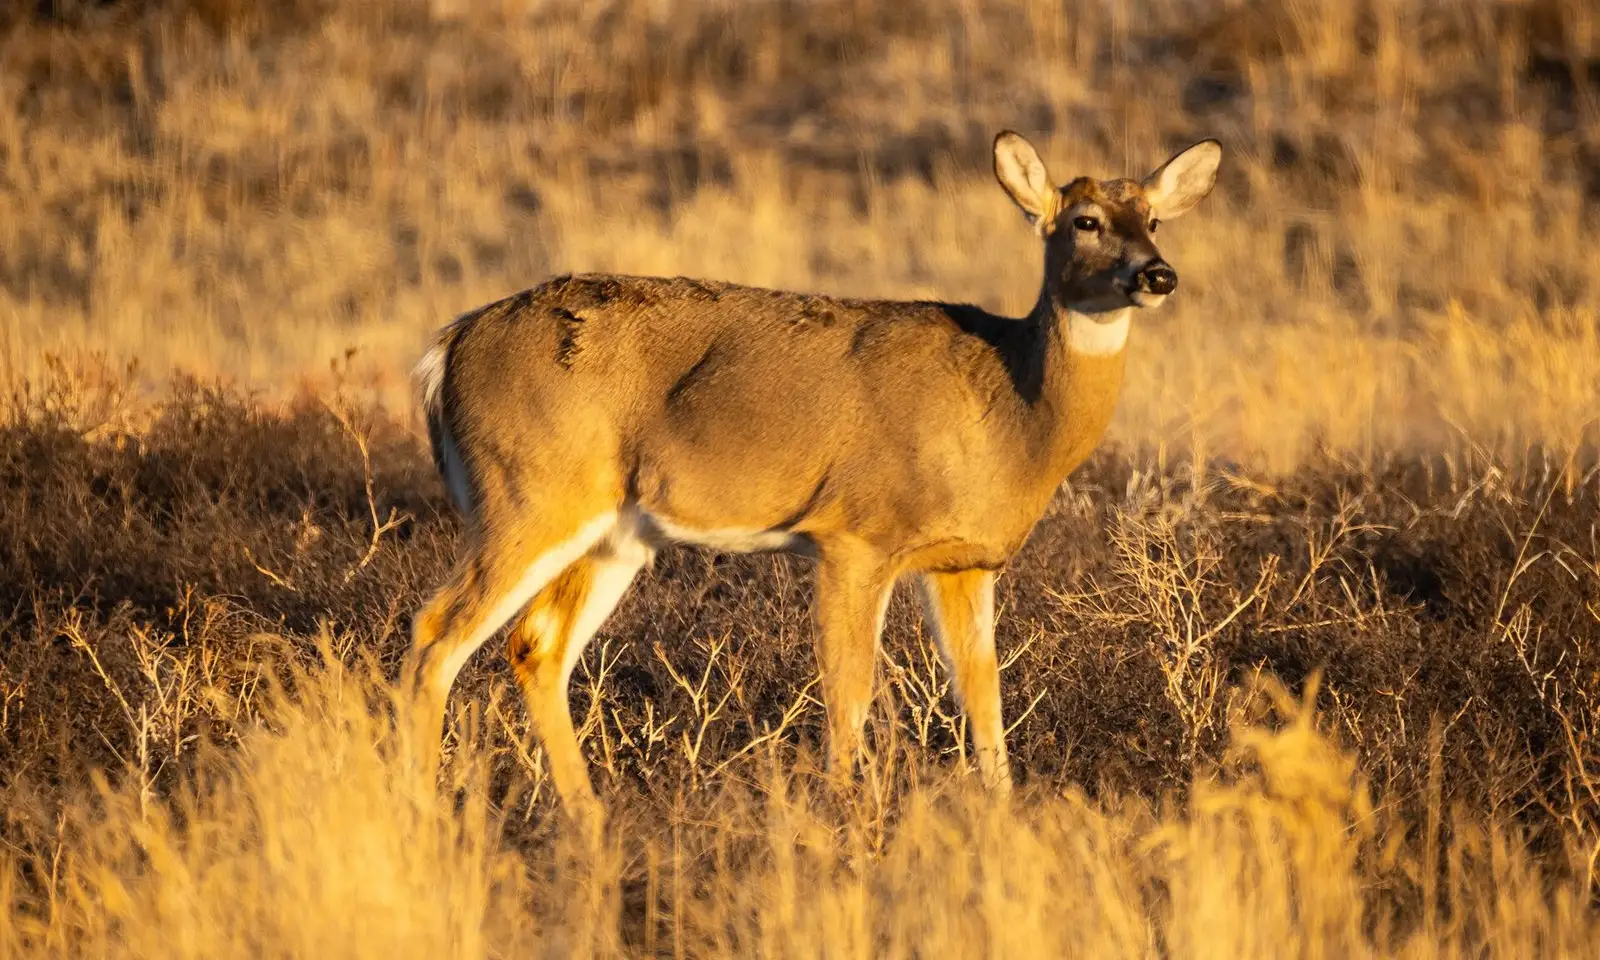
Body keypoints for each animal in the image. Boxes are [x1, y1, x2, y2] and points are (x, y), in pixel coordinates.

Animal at [405, 131, 1221, 826]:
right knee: (437, 631)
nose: (1158, 274)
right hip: (528, 494)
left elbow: (982, 694)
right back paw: (421, 807)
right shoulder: (854, 536)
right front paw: (844, 816)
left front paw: (1000, 813)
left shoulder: (964, 562)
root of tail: (447, 347)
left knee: (536, 646)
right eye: (1085, 220)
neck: (1011, 412)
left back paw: (588, 817)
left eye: (1153, 218)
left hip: (614, 533)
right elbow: (850, 689)